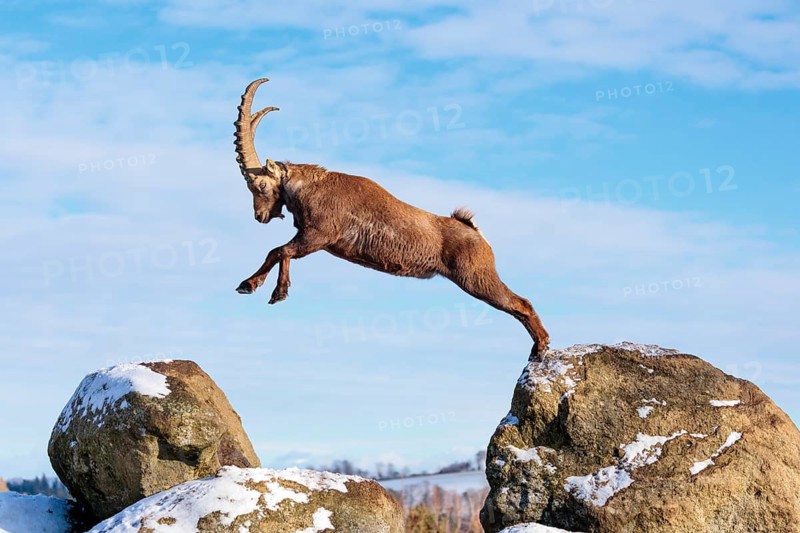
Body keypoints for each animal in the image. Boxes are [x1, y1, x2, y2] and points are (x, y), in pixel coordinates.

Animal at [233, 79, 550, 359]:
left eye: (260, 185)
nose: (259, 216)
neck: (310, 187)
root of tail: (474, 232)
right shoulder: (313, 238)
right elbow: (276, 251)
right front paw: (248, 285)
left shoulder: (318, 235)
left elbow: (281, 250)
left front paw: (278, 291)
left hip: (476, 276)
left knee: (521, 303)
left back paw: (541, 347)